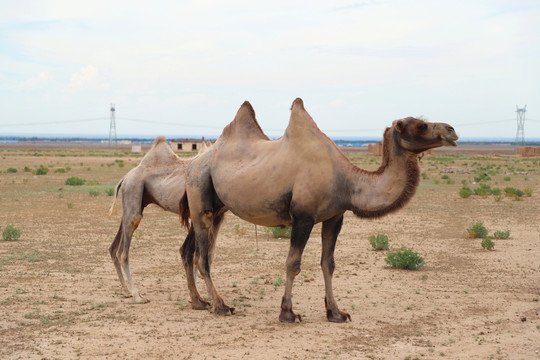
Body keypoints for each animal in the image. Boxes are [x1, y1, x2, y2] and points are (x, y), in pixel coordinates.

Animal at [108, 136, 204, 302]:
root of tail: (126, 176)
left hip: (135, 202)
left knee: (114, 247)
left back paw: (126, 291)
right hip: (134, 189)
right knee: (124, 251)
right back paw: (137, 295)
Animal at [179, 97, 458, 322]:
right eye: (421, 125)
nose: (452, 130)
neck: (347, 181)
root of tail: (193, 163)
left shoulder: (335, 216)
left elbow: (328, 264)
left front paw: (335, 312)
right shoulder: (303, 217)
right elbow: (293, 263)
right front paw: (288, 313)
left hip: (216, 208)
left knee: (188, 250)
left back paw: (199, 302)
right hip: (200, 194)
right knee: (202, 257)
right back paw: (220, 306)